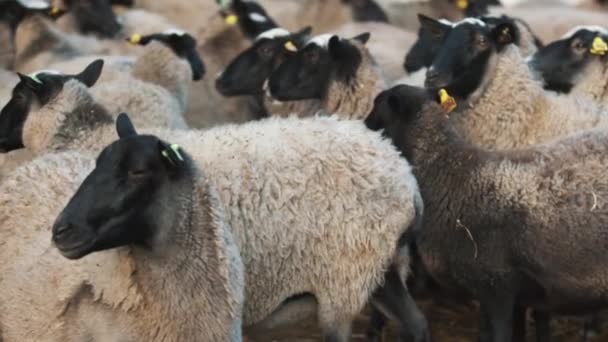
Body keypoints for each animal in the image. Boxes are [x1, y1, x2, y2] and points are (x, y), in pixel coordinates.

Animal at [366, 82, 608, 342]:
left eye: (378, 107)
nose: (362, 126)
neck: (453, 176)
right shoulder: (498, 292)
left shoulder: (497, 284)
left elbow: (500, 334)